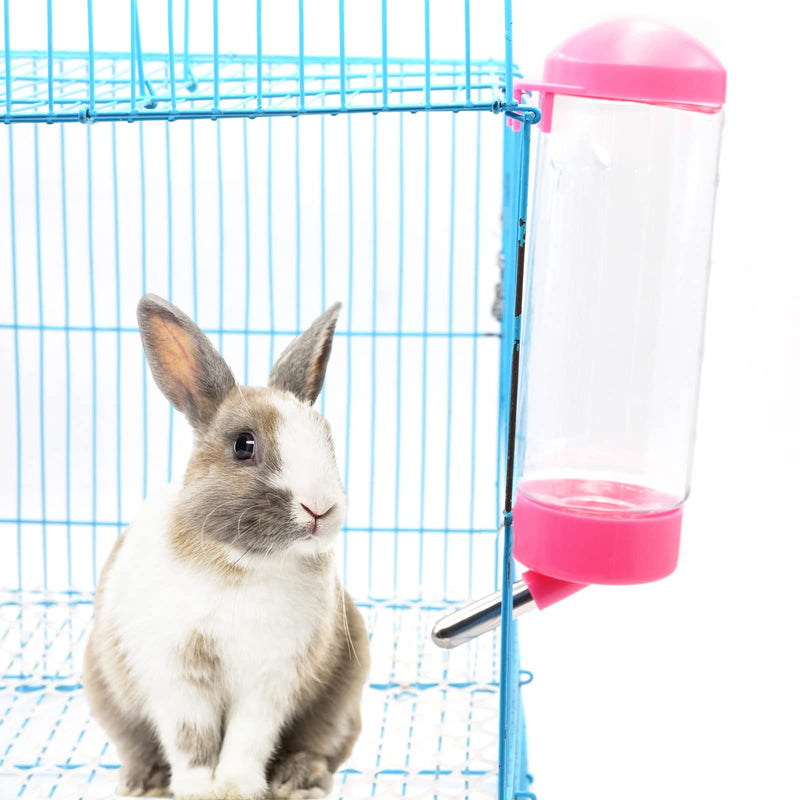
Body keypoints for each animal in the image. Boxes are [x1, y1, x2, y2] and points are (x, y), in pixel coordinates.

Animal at [83, 294, 370, 800]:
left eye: (328, 439)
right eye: (244, 445)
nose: (320, 508)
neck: (244, 565)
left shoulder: (270, 681)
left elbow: (247, 739)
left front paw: (236, 787)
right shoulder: (178, 676)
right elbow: (190, 739)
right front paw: (199, 789)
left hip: (341, 699)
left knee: (321, 747)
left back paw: (297, 780)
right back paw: (144, 782)